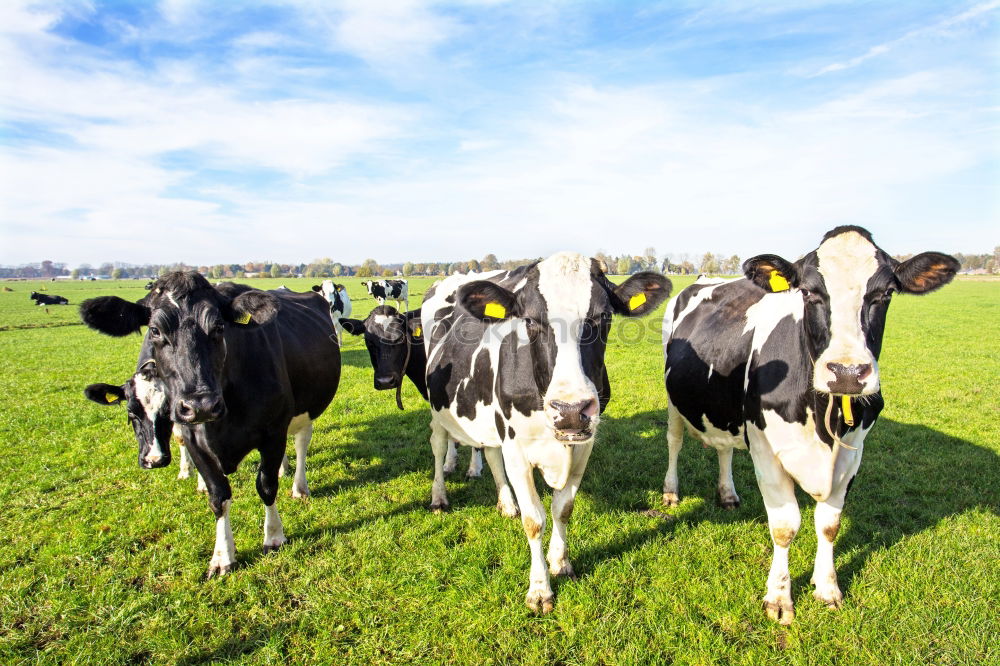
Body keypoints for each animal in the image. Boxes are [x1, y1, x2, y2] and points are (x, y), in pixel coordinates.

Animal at [79, 272, 344, 572]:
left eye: (219, 327)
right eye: (155, 330)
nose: (201, 405)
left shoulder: (272, 432)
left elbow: (266, 486)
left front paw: (274, 536)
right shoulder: (194, 440)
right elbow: (218, 497)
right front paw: (222, 556)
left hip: (306, 408)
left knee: (300, 443)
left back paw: (299, 486)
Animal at [422, 250, 672, 612]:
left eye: (603, 317)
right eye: (530, 321)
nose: (570, 411)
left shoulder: (583, 446)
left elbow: (562, 509)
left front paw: (560, 562)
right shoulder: (516, 447)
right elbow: (534, 520)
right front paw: (540, 589)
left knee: (491, 454)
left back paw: (506, 503)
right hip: (438, 409)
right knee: (439, 445)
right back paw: (439, 497)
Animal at [660, 227, 956, 624]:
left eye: (884, 294)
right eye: (810, 292)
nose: (847, 372)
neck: (822, 419)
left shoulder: (853, 455)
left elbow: (829, 524)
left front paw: (827, 588)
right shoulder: (766, 451)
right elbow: (785, 527)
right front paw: (779, 598)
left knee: (724, 449)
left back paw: (727, 494)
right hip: (674, 402)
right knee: (674, 442)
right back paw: (671, 491)